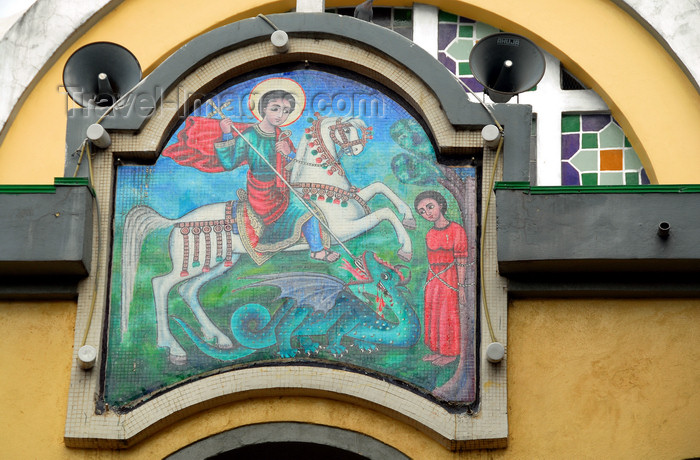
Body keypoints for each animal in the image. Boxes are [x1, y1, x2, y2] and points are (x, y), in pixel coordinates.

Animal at [119, 115, 416, 362]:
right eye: (345, 129)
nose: (357, 149)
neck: (322, 185)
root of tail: (176, 222)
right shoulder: (343, 229)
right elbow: (383, 213)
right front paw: (405, 247)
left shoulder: (358, 205)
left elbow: (380, 188)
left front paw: (409, 217)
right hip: (194, 263)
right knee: (161, 285)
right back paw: (173, 347)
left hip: (220, 262)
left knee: (188, 290)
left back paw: (219, 338)